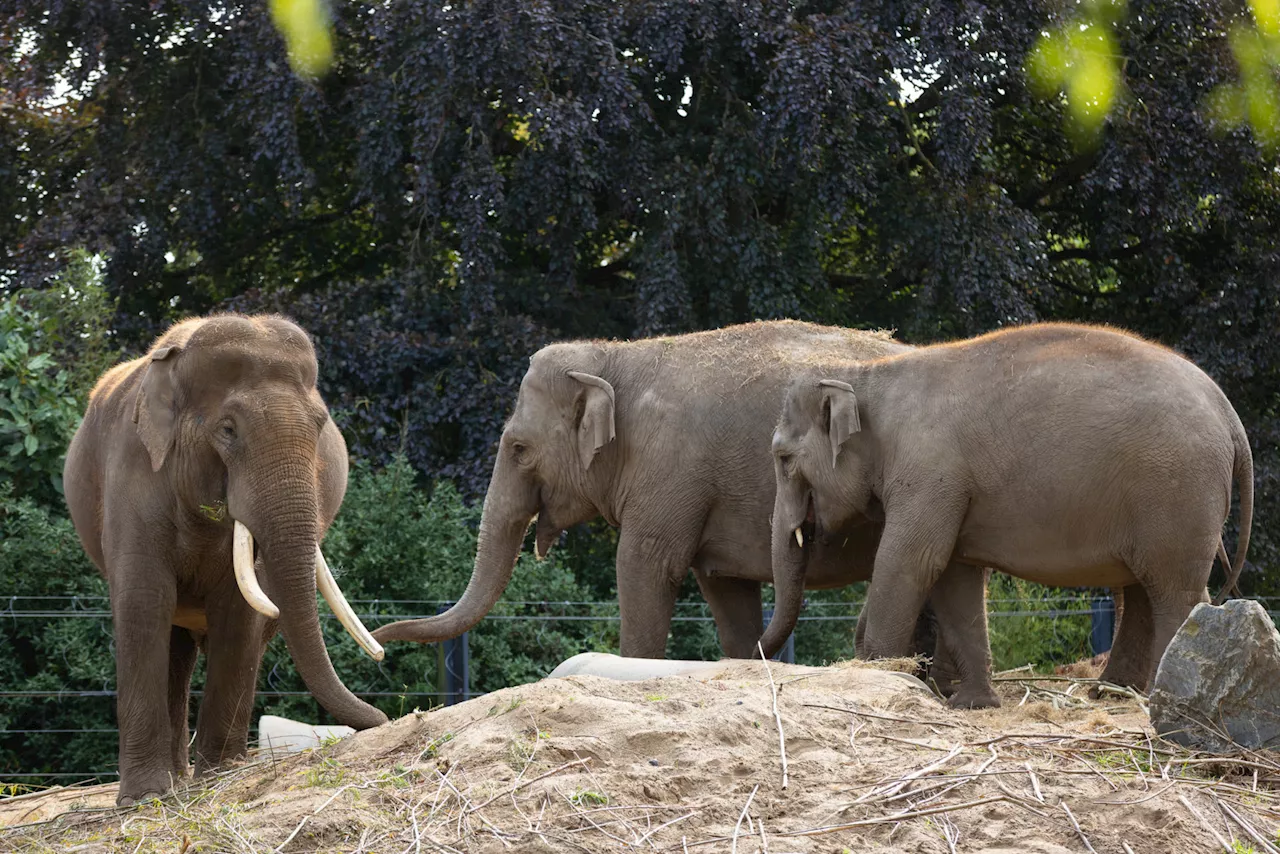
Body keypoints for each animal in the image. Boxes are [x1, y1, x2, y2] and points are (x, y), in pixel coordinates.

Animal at [66, 316, 384, 809]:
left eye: (320, 427)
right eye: (228, 430)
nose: (385, 717)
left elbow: (239, 608)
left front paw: (219, 776)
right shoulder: (133, 471)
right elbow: (143, 599)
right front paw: (143, 798)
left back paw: (203, 771)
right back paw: (175, 779)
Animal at [371, 318, 988, 701]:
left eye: (518, 449)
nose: (380, 642)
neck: (618, 356)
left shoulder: (668, 470)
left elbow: (643, 567)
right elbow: (724, 590)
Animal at [757, 320, 1249, 696]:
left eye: (783, 458)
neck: (865, 376)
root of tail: (1228, 411)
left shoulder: (929, 471)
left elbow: (911, 561)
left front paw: (882, 674)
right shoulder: (950, 487)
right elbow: (954, 575)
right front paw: (972, 704)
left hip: (1178, 491)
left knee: (1175, 590)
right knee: (1145, 588)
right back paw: (1111, 694)